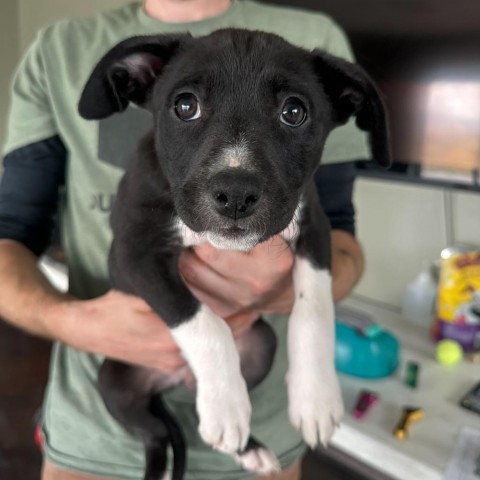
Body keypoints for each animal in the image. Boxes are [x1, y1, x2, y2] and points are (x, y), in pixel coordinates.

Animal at [79, 29, 390, 480]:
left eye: (294, 111)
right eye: (185, 106)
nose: (236, 194)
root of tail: (173, 381)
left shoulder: (315, 228)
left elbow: (314, 310)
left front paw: (315, 398)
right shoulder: (133, 253)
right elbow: (203, 322)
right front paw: (225, 405)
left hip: (261, 347)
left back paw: (248, 446)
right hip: (116, 384)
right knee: (155, 434)